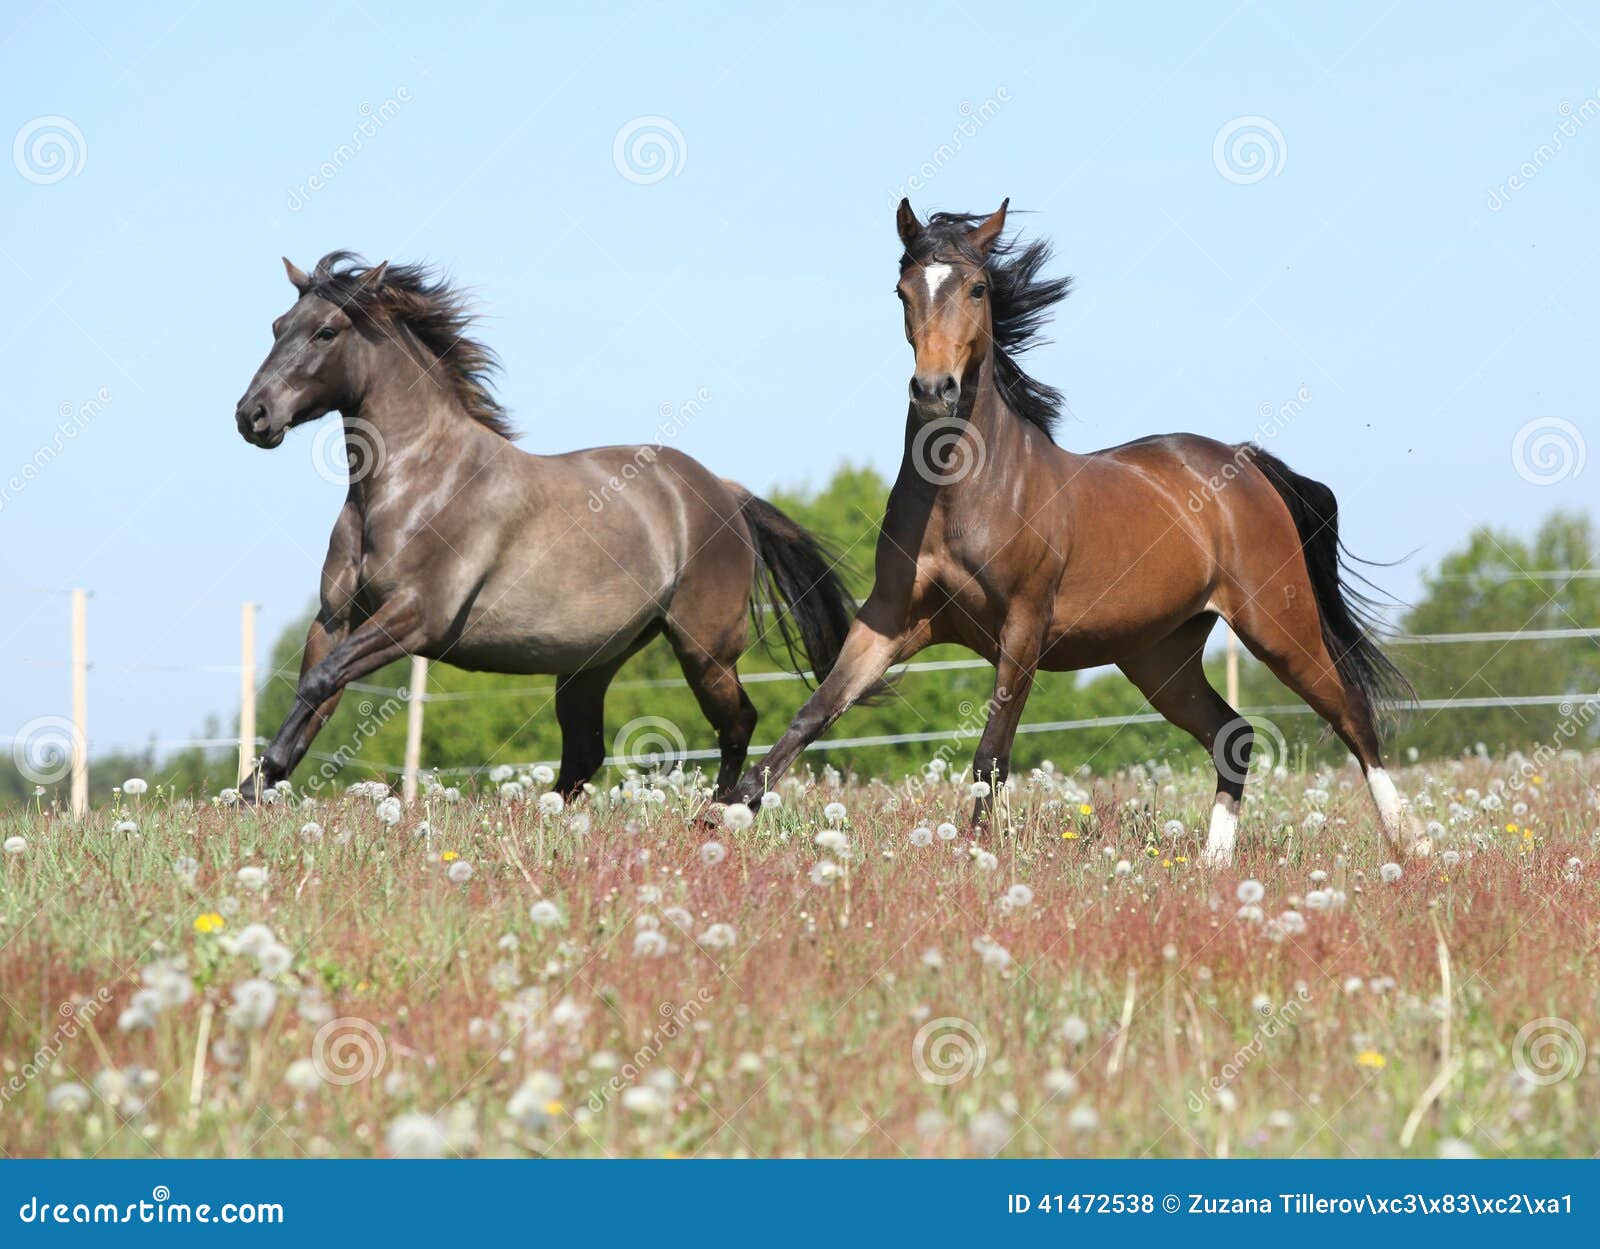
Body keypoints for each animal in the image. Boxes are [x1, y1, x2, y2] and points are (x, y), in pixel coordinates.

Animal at [233, 252, 854, 804]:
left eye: (326, 333)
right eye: (278, 327)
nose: (252, 415)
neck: (415, 483)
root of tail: (723, 492)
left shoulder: (414, 617)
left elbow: (320, 682)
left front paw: (260, 781)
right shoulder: (336, 619)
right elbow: (316, 692)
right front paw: (252, 793)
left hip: (703, 650)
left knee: (737, 722)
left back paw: (724, 809)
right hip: (591, 663)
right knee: (585, 752)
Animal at [727, 200, 1421, 866]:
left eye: (978, 287)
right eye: (902, 290)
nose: (934, 389)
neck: (962, 498)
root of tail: (1244, 461)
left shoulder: (1024, 625)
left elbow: (991, 755)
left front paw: (976, 855)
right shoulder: (891, 620)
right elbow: (813, 714)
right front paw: (727, 815)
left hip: (1277, 625)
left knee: (1353, 714)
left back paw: (1409, 845)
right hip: (1159, 657)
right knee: (1234, 735)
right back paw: (1212, 863)